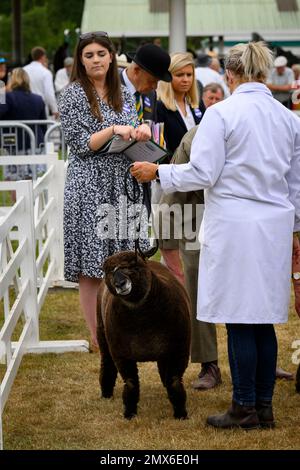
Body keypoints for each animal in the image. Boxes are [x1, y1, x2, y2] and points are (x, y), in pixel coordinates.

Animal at [97, 252, 191, 420]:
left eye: (134, 265)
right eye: (108, 271)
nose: (120, 283)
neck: (143, 321)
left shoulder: (179, 348)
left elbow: (174, 381)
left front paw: (181, 414)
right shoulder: (121, 354)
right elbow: (131, 383)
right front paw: (129, 414)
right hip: (102, 334)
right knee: (106, 363)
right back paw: (106, 394)